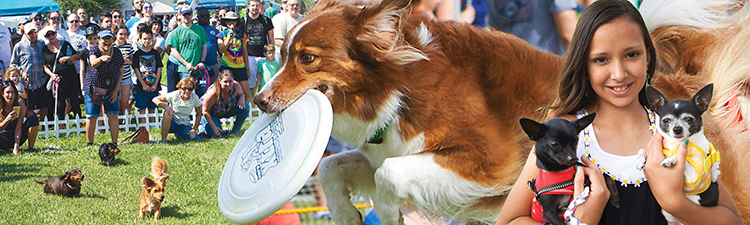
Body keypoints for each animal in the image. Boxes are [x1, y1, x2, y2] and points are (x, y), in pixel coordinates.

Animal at [253, 0, 564, 222]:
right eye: (282, 56)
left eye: (307, 58)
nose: (259, 100)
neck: (400, 89)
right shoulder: (390, 150)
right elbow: (331, 167)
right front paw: (345, 214)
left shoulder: (492, 160)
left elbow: (387, 174)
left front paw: (389, 213)